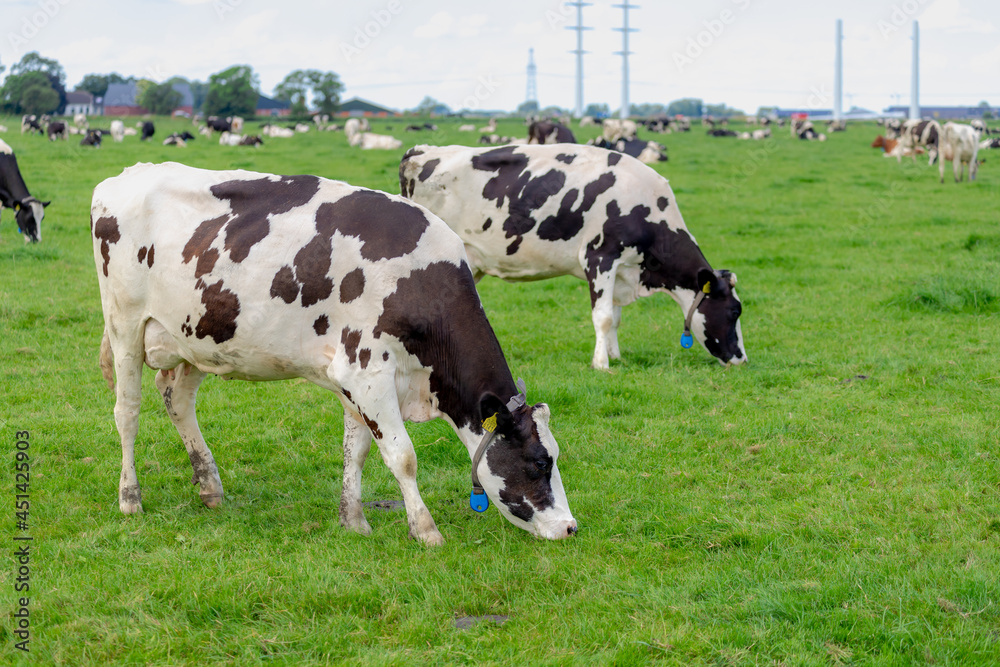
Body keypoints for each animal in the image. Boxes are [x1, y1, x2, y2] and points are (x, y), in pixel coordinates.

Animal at [95, 162, 580, 548]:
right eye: (540, 462)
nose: (570, 527)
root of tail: (127, 174)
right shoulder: (367, 372)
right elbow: (403, 455)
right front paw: (425, 530)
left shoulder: (353, 379)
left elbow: (357, 449)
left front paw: (354, 521)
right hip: (124, 326)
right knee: (127, 411)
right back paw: (129, 497)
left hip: (198, 339)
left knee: (177, 399)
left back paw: (209, 486)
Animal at [398, 144, 744, 370]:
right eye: (734, 311)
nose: (742, 358)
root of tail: (421, 151)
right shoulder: (600, 256)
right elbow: (603, 316)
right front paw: (601, 364)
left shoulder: (622, 268)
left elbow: (616, 316)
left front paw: (615, 355)